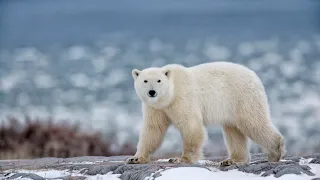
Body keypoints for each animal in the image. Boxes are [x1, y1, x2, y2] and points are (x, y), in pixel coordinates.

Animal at [126, 61, 286, 165]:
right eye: (145, 81)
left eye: (159, 80)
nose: (152, 92)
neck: (170, 95)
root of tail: (255, 76)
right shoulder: (155, 108)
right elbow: (153, 129)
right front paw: (135, 158)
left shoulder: (182, 98)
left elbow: (191, 126)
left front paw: (181, 159)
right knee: (233, 130)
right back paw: (232, 160)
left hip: (242, 96)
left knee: (253, 122)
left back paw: (275, 152)